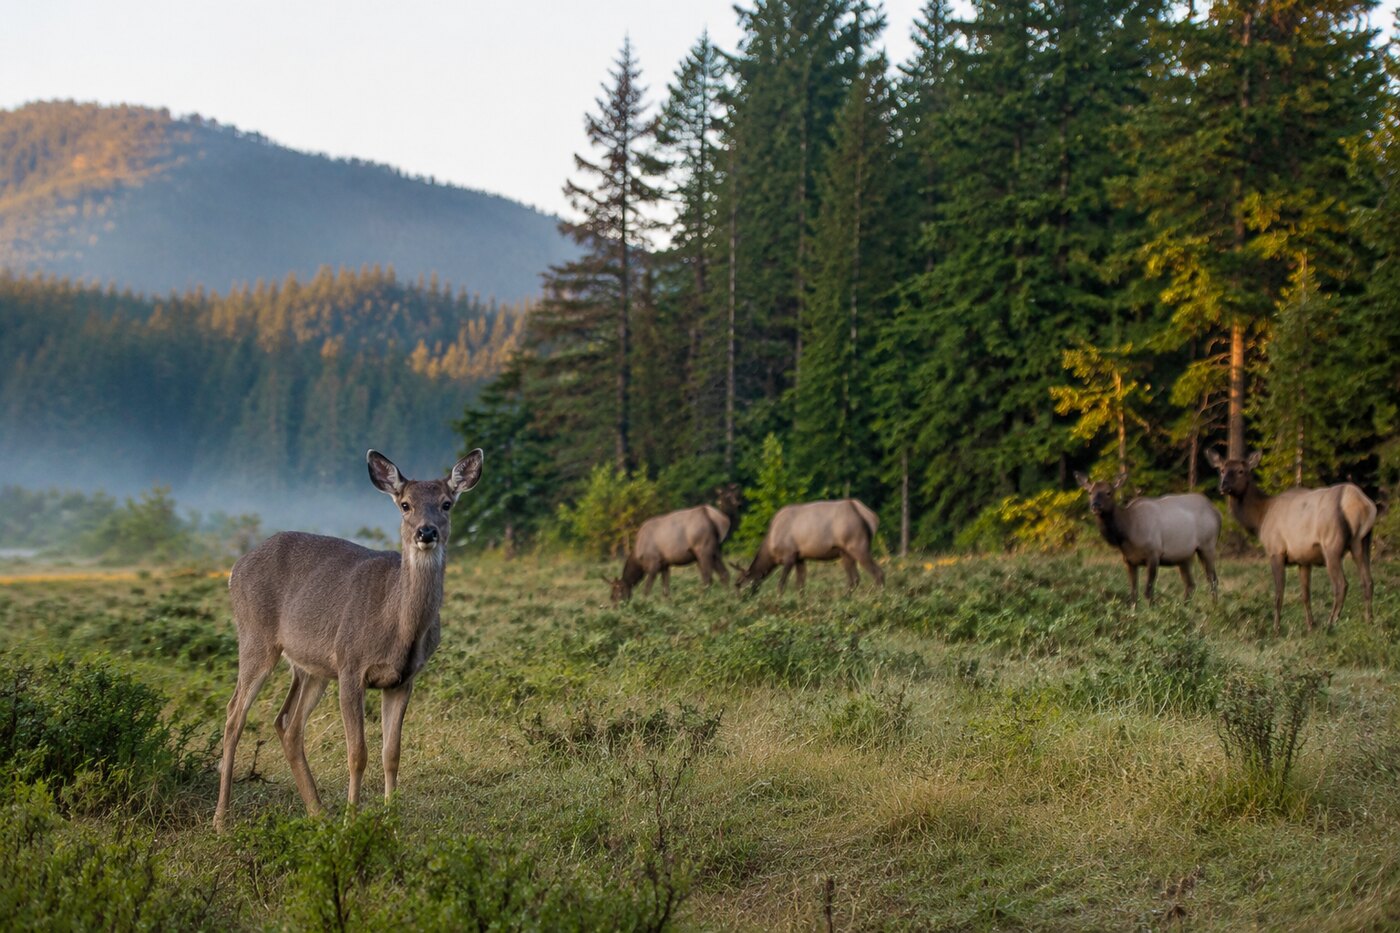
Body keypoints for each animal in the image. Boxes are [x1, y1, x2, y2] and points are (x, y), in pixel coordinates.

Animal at [213, 448, 483, 831]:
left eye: (446, 504)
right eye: (405, 504)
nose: (426, 532)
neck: (396, 625)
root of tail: (235, 569)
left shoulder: (403, 679)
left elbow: (391, 753)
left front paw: (391, 821)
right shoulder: (351, 665)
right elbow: (357, 753)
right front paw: (351, 822)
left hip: (312, 666)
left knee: (287, 723)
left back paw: (318, 812)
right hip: (256, 636)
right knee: (234, 714)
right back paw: (222, 819)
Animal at [732, 499, 884, 594]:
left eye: (741, 585)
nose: (742, 601)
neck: (771, 550)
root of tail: (871, 517)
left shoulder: (790, 554)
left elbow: (781, 584)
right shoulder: (800, 557)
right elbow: (800, 585)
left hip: (858, 545)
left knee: (878, 573)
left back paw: (878, 597)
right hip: (845, 552)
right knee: (854, 579)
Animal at [1074, 471, 1221, 606]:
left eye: (1108, 492)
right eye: (1090, 492)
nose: (1095, 506)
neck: (1127, 532)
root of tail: (1216, 512)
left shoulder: (1154, 554)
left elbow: (1148, 592)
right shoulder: (1129, 560)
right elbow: (1133, 593)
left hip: (1207, 545)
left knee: (1212, 579)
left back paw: (1214, 607)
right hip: (1184, 556)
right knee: (1190, 585)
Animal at [1207, 449, 1376, 634]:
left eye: (1240, 471)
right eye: (1222, 470)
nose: (1224, 486)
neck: (1260, 518)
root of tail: (1364, 505)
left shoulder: (1276, 550)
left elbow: (1278, 593)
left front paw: (1276, 629)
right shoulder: (1304, 559)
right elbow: (1305, 595)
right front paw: (1310, 626)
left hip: (1331, 544)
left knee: (1341, 585)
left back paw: (1331, 623)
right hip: (1362, 542)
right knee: (1367, 581)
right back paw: (1368, 621)